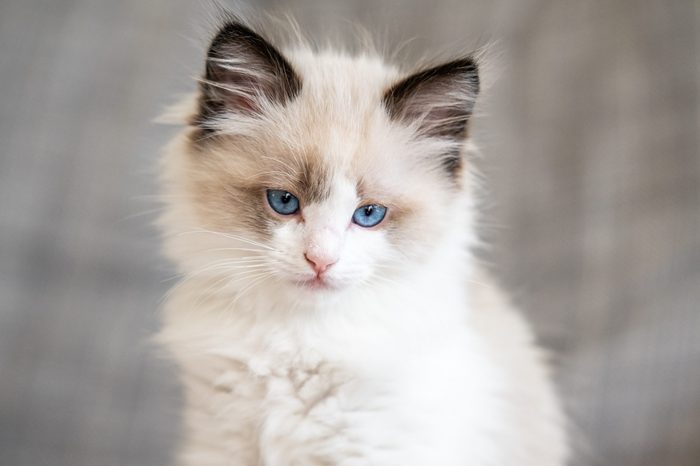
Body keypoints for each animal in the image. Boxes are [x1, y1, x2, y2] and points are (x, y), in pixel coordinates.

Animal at [157, 14, 568, 466]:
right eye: (284, 201)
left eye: (369, 214)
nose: (320, 261)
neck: (300, 342)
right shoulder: (220, 445)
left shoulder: (375, 450)